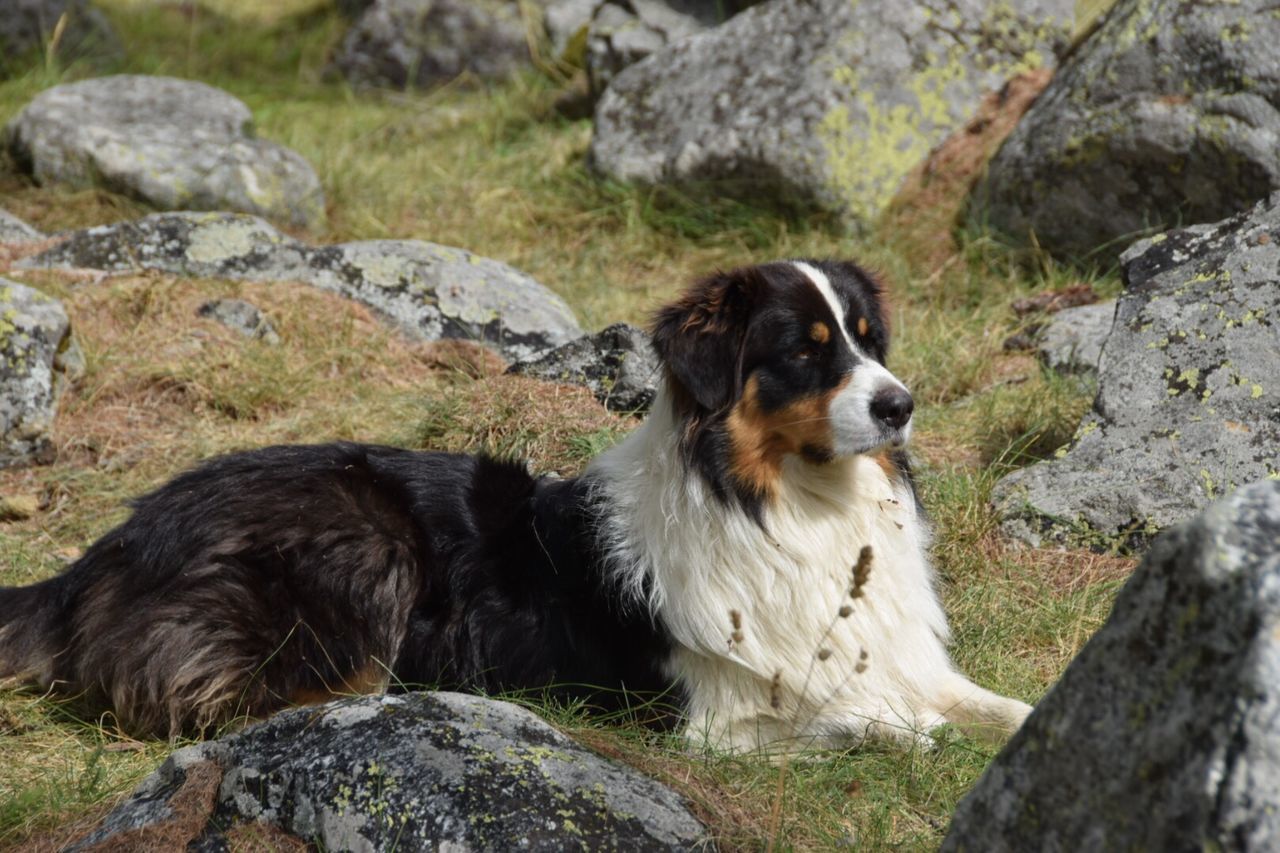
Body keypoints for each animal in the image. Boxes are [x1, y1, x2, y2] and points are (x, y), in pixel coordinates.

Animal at [0, 261, 1029, 753]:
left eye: (866, 338)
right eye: (805, 350)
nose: (900, 404)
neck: (791, 505)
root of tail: (106, 549)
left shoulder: (902, 658)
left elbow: (1001, 705)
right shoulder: (705, 713)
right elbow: (854, 718)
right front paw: (910, 734)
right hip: (364, 540)